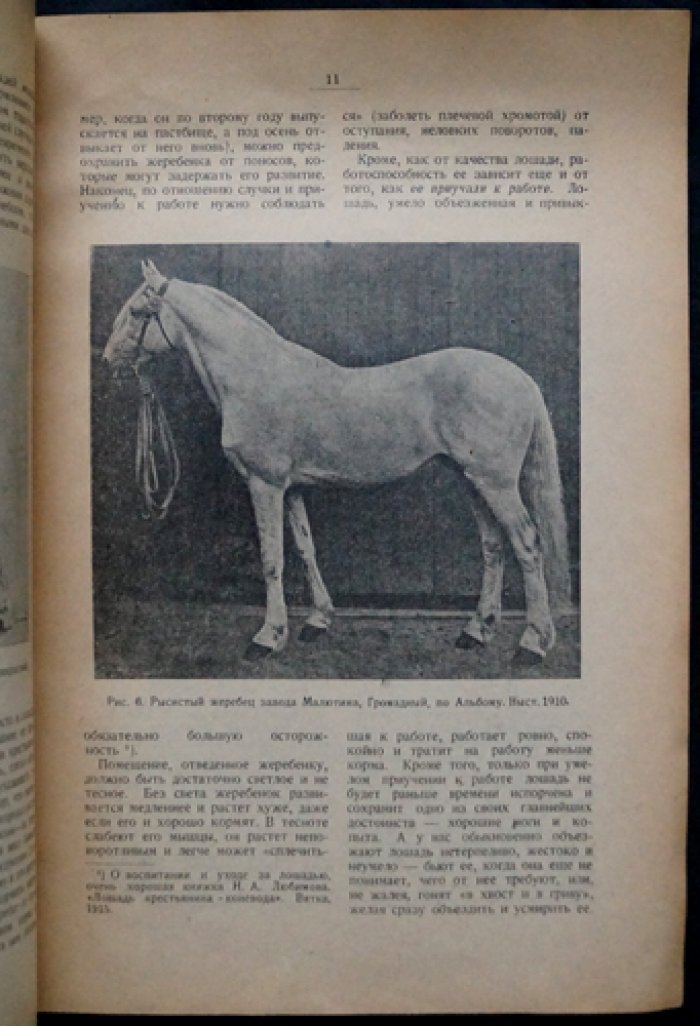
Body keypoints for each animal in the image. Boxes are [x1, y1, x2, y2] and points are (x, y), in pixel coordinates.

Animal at [102, 260, 571, 664]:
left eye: (138, 311)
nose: (108, 359)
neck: (256, 375)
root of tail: (521, 379)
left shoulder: (265, 483)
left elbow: (272, 558)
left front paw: (269, 636)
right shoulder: (292, 488)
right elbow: (305, 547)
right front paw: (318, 620)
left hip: (495, 483)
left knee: (527, 544)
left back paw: (532, 644)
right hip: (472, 479)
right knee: (493, 545)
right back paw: (476, 631)